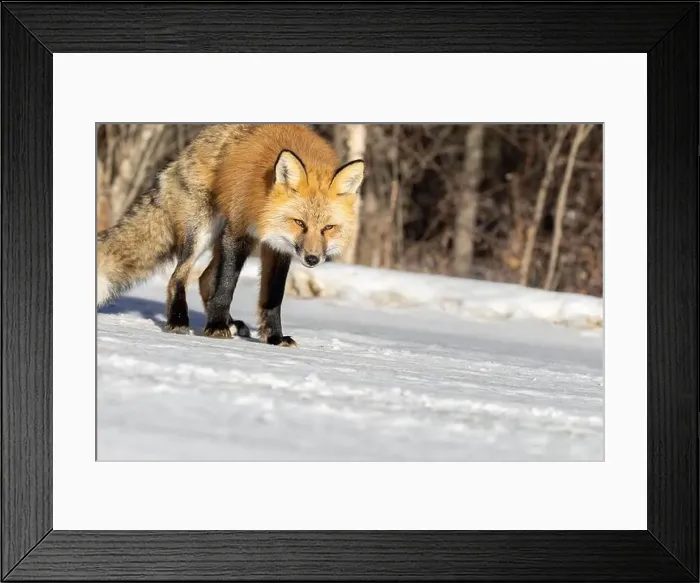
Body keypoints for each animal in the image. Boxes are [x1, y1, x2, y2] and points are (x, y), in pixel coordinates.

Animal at [97, 124, 365, 347]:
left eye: (328, 228)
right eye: (299, 223)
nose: (312, 259)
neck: (263, 202)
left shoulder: (278, 246)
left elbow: (272, 298)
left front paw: (274, 338)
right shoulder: (238, 231)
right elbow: (226, 285)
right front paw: (216, 327)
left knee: (204, 279)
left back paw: (230, 322)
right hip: (203, 230)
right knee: (178, 276)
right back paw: (180, 320)